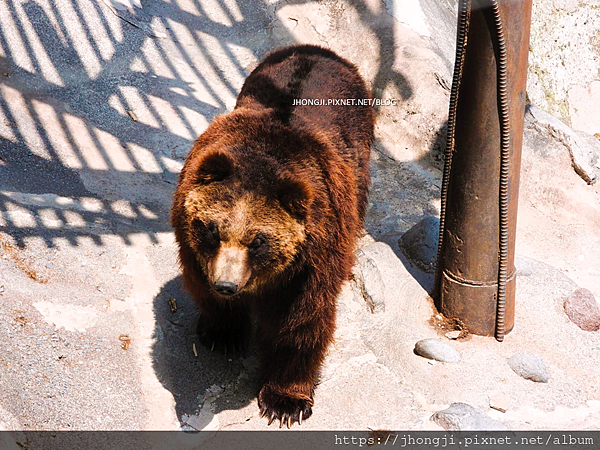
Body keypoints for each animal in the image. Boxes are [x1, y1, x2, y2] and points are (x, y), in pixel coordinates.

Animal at [171, 44, 372, 428]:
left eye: (258, 241)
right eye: (212, 229)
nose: (226, 285)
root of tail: (317, 49)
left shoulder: (313, 258)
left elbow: (302, 321)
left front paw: (286, 401)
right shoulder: (192, 244)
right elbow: (201, 285)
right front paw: (223, 332)